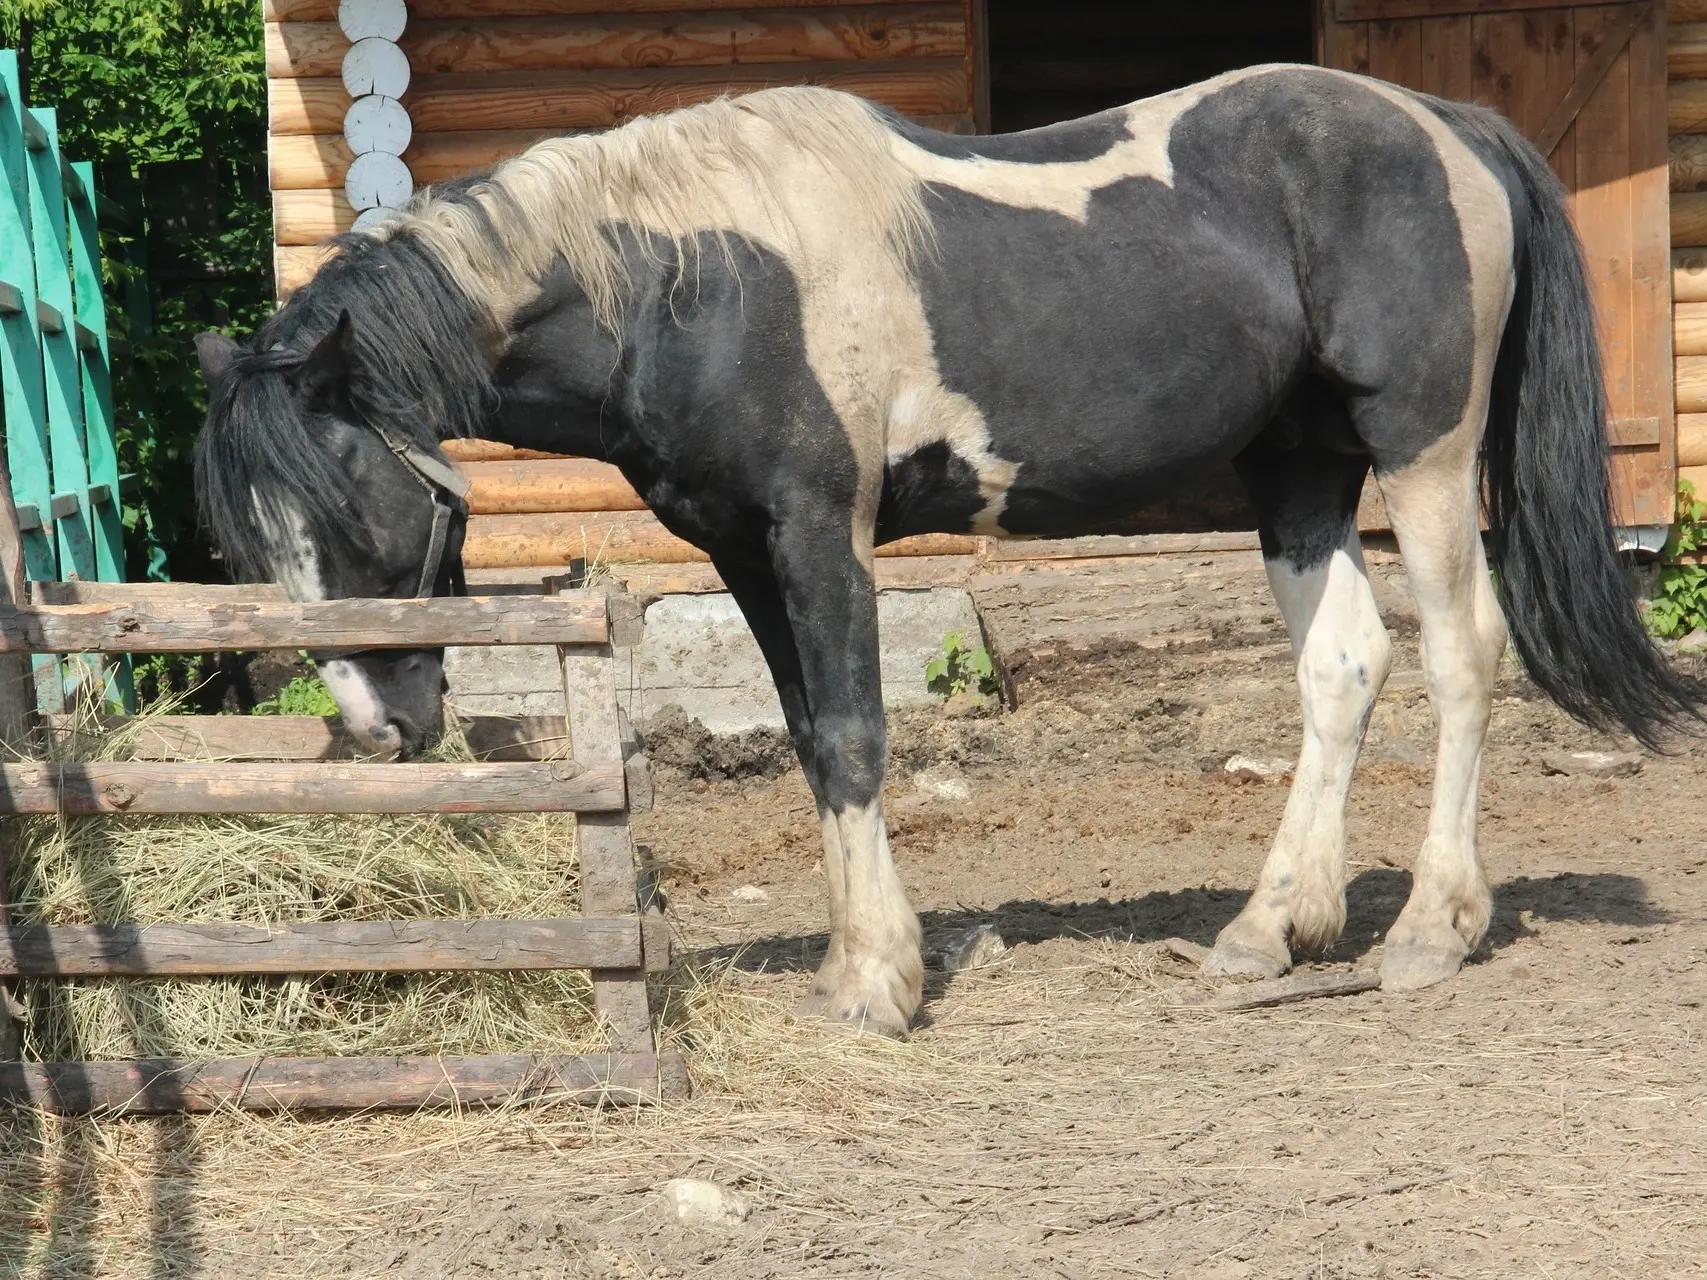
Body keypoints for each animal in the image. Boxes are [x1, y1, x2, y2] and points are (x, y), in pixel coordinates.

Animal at [193, 65, 1700, 1037]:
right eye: (258, 534)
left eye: (349, 503)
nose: (381, 728)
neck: (696, 277)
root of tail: (1447, 124)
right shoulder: (744, 551)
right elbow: (812, 743)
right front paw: (859, 965)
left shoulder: (822, 532)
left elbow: (859, 734)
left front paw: (879, 986)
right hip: (1300, 471)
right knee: (1341, 667)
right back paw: (1270, 931)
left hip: (1424, 451)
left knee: (1459, 657)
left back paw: (1429, 932)